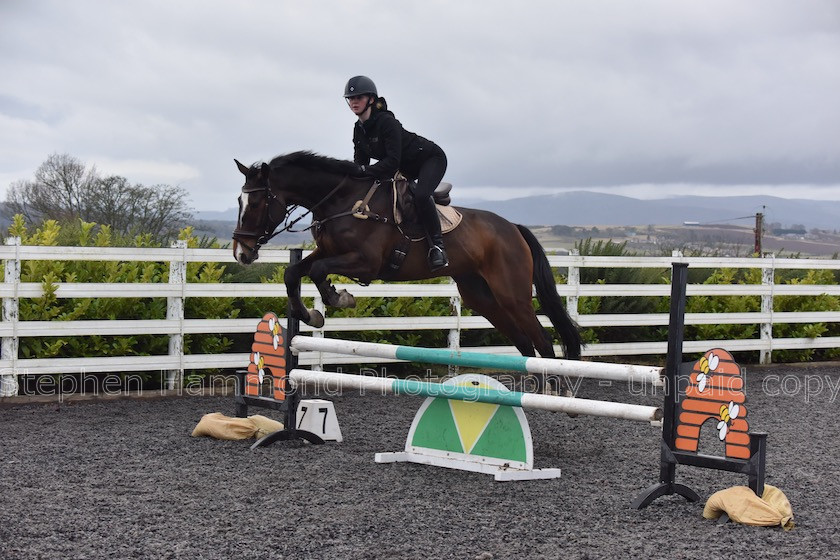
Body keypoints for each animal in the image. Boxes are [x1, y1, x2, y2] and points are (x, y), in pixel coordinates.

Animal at [233, 149, 580, 384]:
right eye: (239, 202)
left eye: (257, 202)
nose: (242, 253)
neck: (341, 201)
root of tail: (514, 228)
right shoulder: (327, 251)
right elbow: (294, 272)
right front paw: (311, 315)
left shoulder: (366, 264)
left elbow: (319, 273)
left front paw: (338, 298)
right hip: (481, 297)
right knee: (525, 345)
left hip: (512, 295)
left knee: (543, 343)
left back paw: (555, 394)